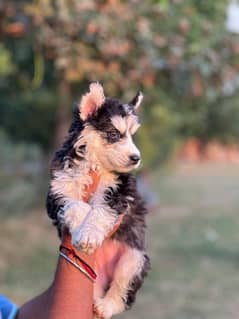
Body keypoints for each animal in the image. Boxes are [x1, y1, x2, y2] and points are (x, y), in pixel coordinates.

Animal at [46, 83, 149, 319]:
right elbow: (75, 205)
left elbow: (100, 211)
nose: (136, 158)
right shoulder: (58, 188)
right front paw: (80, 228)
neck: (96, 164)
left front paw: (89, 234)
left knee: (122, 290)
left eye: (132, 136)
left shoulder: (120, 191)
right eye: (114, 134)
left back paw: (106, 305)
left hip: (134, 260)